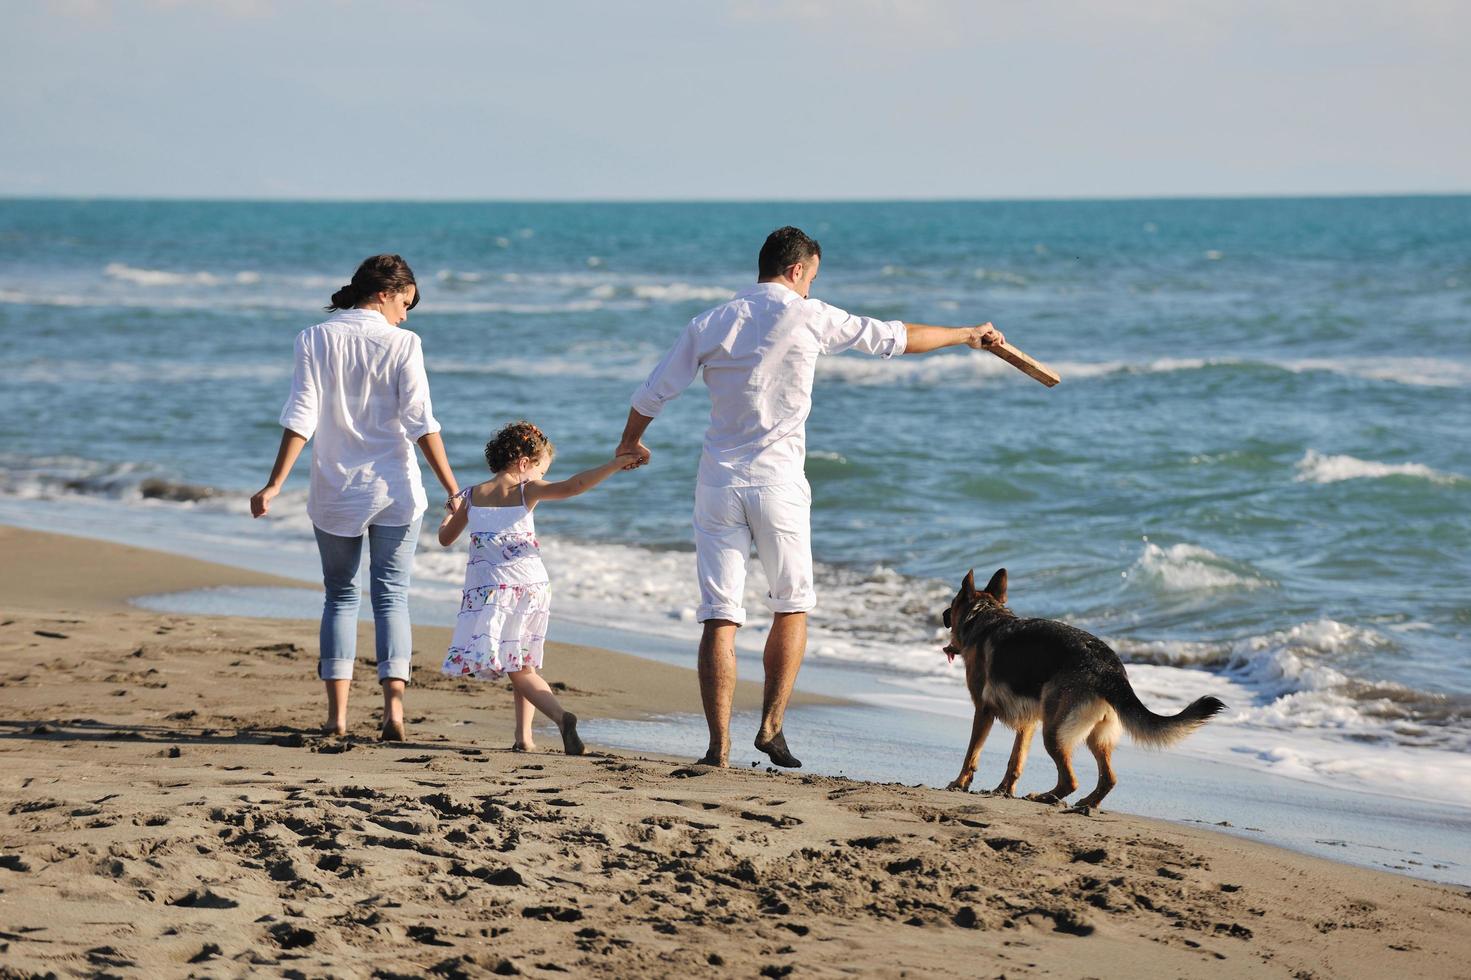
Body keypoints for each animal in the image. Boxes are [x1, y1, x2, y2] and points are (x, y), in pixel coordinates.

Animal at [941, 567, 1229, 806]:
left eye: (952, 604)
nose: (942, 614)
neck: (985, 614)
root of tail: (1110, 669)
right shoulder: (1028, 723)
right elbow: (1016, 760)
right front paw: (1003, 790)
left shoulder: (983, 711)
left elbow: (972, 754)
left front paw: (959, 783)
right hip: (1093, 736)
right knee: (1108, 779)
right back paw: (1087, 804)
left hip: (1053, 733)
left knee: (1071, 780)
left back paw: (1045, 797)